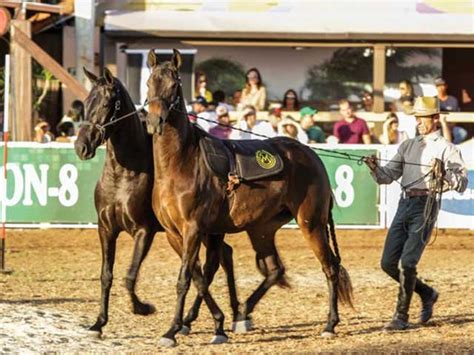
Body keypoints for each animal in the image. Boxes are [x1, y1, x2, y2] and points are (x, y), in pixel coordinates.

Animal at [74, 68, 241, 338]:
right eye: (87, 102)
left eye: (107, 103)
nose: (82, 147)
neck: (123, 174)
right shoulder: (106, 229)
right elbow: (106, 275)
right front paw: (99, 323)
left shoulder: (145, 231)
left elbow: (130, 276)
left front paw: (143, 308)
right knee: (221, 258)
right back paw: (225, 315)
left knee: (215, 262)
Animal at [146, 50, 354, 348]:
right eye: (149, 81)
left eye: (175, 84)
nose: (155, 121)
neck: (181, 163)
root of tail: (310, 155)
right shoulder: (177, 234)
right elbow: (199, 276)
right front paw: (209, 323)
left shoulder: (193, 229)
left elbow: (186, 278)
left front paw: (172, 330)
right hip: (262, 229)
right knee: (275, 269)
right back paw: (243, 313)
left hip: (311, 223)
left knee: (330, 268)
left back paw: (329, 324)